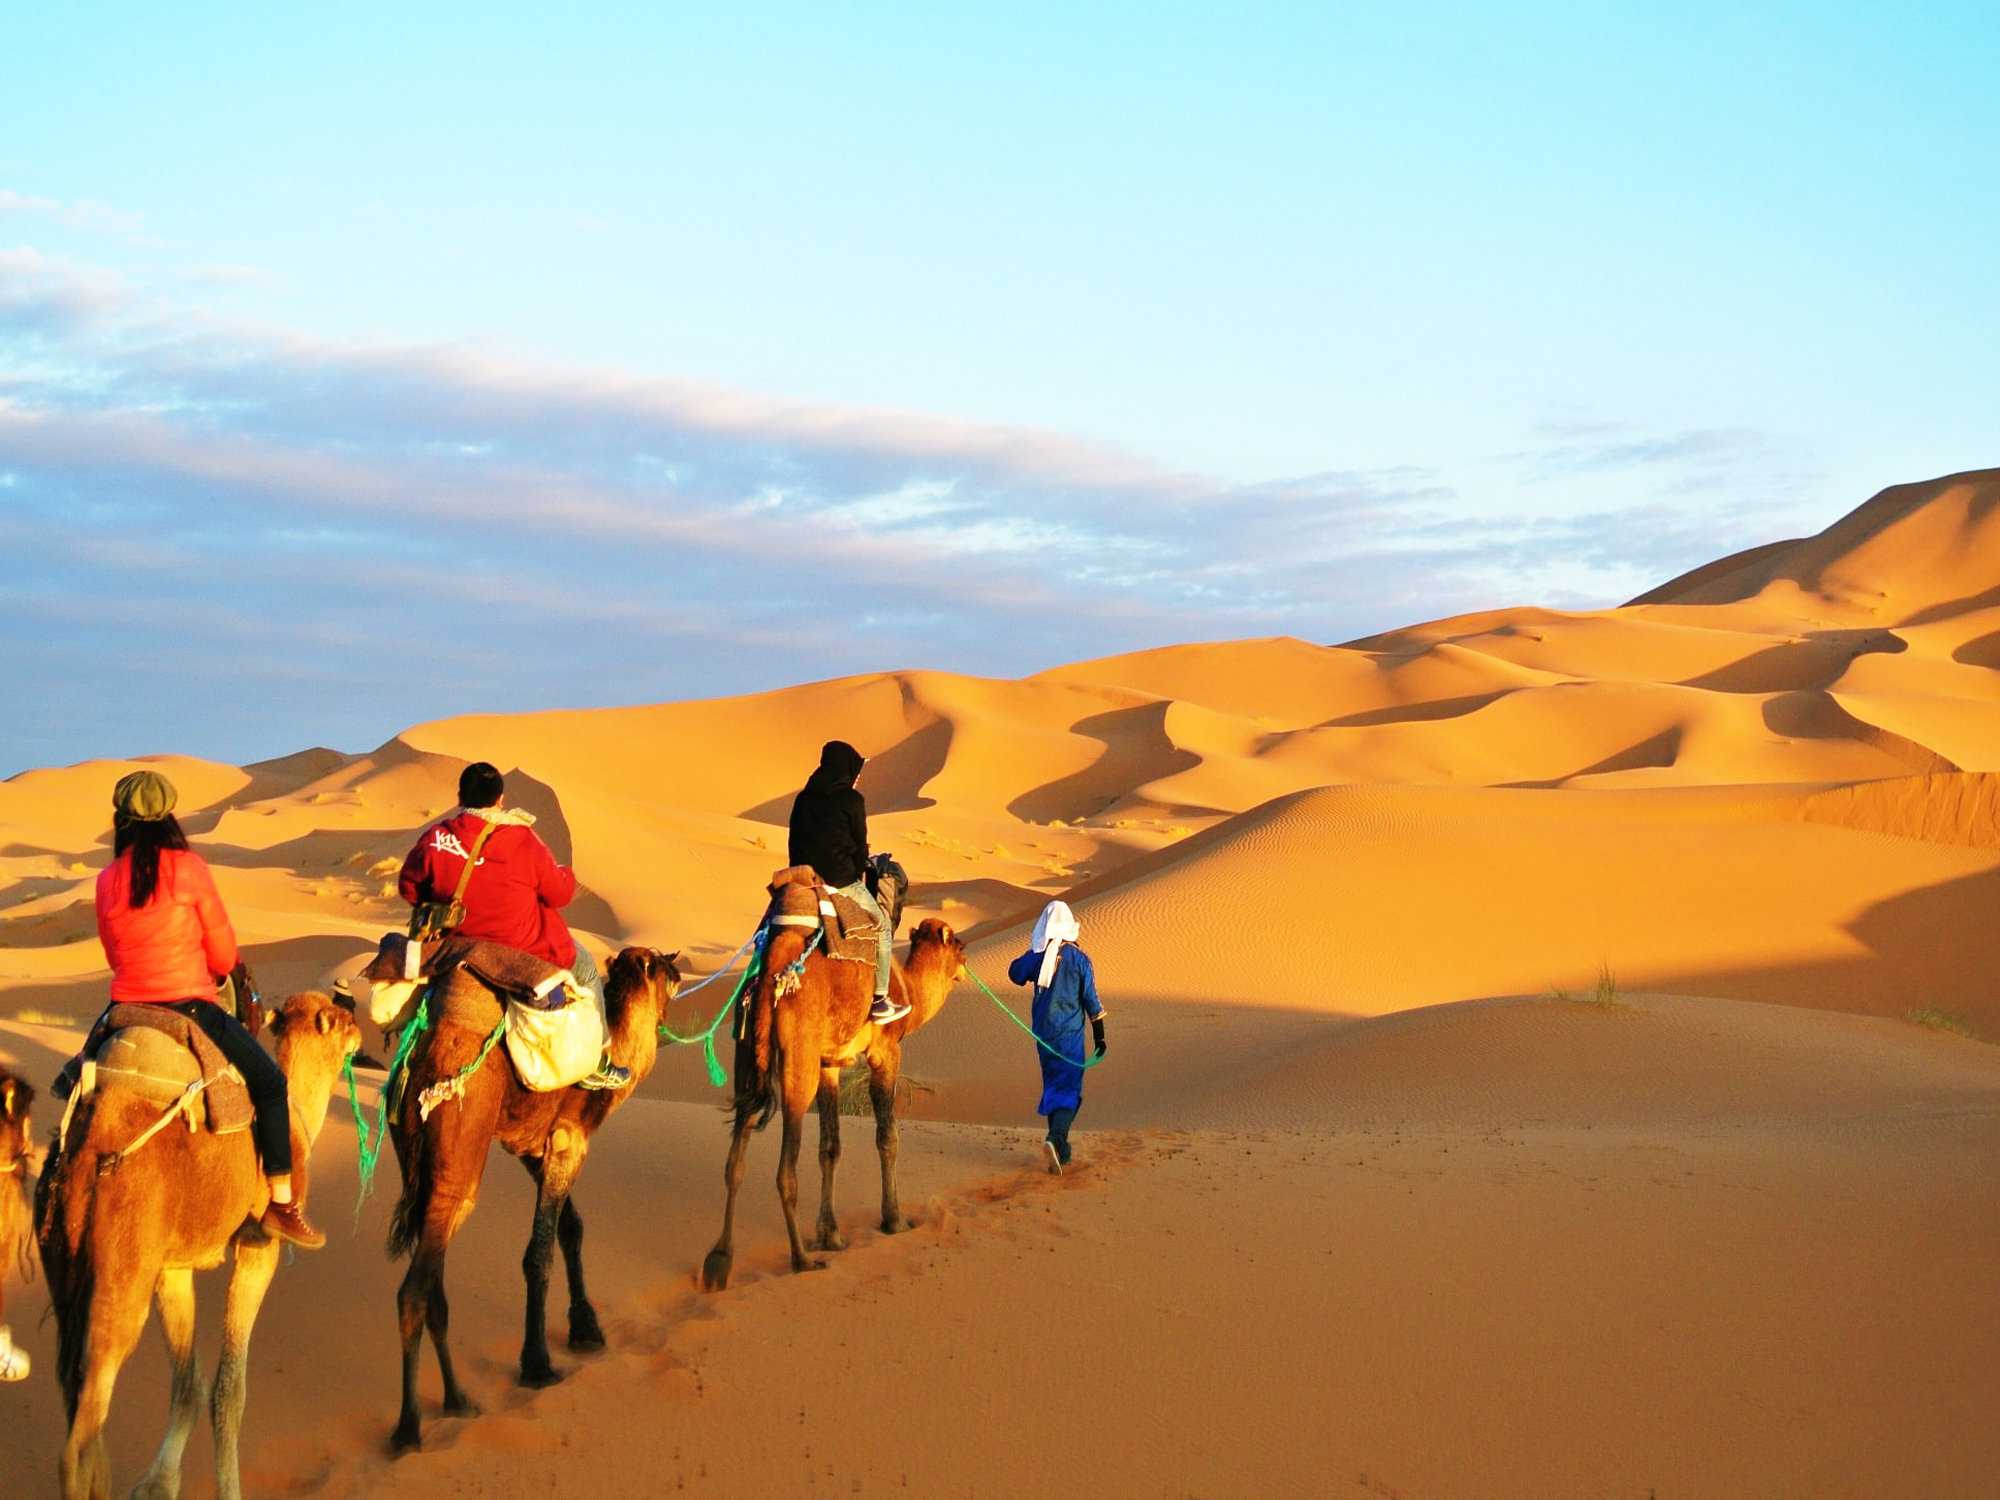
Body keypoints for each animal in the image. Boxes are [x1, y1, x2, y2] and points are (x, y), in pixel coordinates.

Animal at [35, 992, 364, 1500]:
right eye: (344, 1020)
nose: (362, 1032)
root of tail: (90, 1147)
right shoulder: (259, 1244)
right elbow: (230, 1390)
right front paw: (228, 1489)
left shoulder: (172, 1265)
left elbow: (188, 1382)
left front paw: (157, 1484)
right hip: (121, 1273)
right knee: (80, 1435)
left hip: (62, 1256)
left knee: (75, 1391)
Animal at [382, 952, 680, 1456]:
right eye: (665, 971)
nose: (678, 975)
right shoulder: (569, 1141)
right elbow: (539, 1252)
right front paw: (537, 1362)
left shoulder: (530, 1147)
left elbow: (571, 1228)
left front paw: (586, 1328)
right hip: (458, 1147)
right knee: (413, 1290)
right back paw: (408, 1427)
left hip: (418, 1164)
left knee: (434, 1283)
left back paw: (458, 1400)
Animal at [700, 912, 964, 1296]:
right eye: (959, 944)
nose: (965, 966)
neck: (910, 991)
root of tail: (769, 982)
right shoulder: (885, 1051)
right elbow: (888, 1137)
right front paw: (894, 1219)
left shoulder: (830, 1063)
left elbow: (830, 1146)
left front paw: (830, 1234)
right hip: (799, 1058)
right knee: (785, 1168)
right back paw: (802, 1260)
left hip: (746, 1053)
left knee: (736, 1156)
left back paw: (720, 1259)